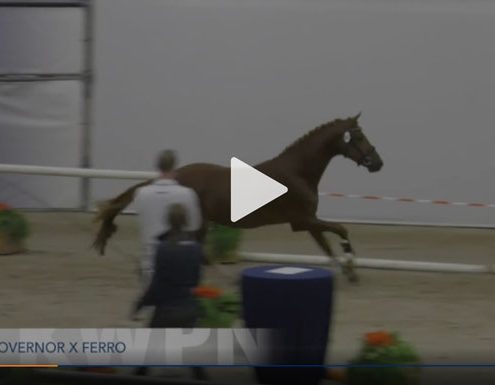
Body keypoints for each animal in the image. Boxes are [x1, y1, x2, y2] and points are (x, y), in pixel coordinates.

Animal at [92, 112, 384, 280]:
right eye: (358, 136)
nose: (378, 163)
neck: (298, 172)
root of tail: (172, 176)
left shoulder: (308, 222)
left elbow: (326, 246)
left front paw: (346, 270)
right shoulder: (302, 220)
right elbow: (342, 230)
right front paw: (351, 266)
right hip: (197, 221)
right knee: (194, 249)